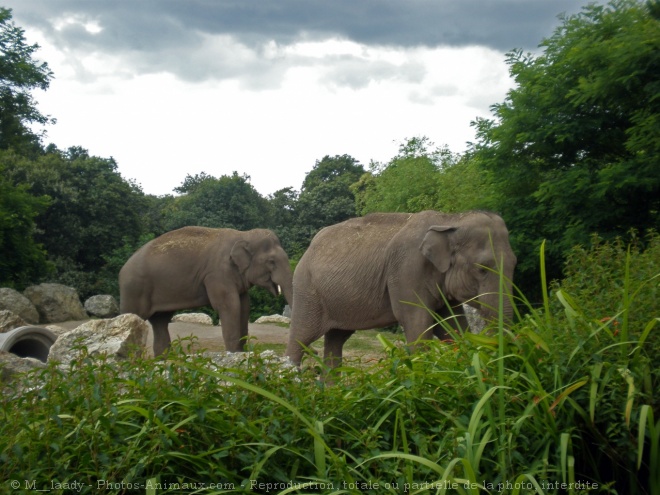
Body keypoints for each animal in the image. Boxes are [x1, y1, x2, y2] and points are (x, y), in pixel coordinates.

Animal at [119, 229, 294, 356]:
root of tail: (123, 269)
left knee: (160, 321)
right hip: (134, 290)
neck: (243, 234)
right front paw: (233, 356)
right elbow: (230, 306)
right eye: (271, 262)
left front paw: (240, 353)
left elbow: (244, 306)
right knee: (134, 317)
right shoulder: (217, 274)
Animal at [286, 209, 520, 368]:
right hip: (307, 290)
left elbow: (450, 325)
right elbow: (417, 322)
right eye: (482, 269)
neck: (449, 220)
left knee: (336, 340)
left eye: (515, 264)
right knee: (301, 338)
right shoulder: (407, 270)